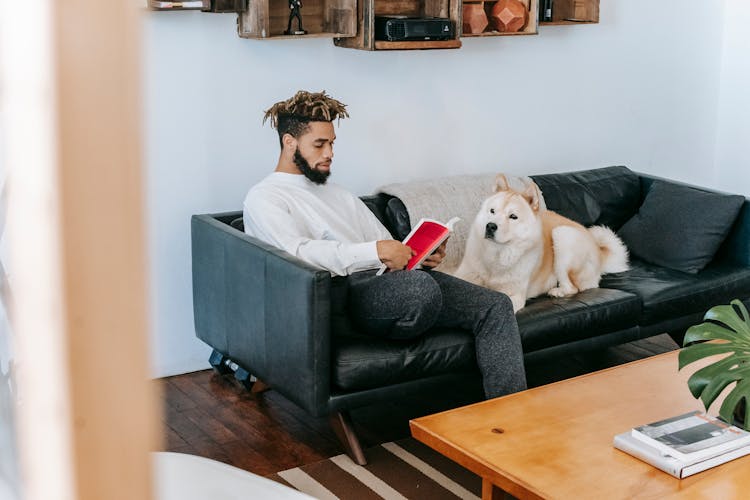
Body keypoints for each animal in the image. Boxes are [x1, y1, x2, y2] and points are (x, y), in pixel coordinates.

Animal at [456, 174, 632, 310]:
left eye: (513, 217)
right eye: (492, 211)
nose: (490, 226)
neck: (496, 255)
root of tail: (597, 249)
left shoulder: (513, 296)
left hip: (562, 235)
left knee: (574, 287)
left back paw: (557, 291)